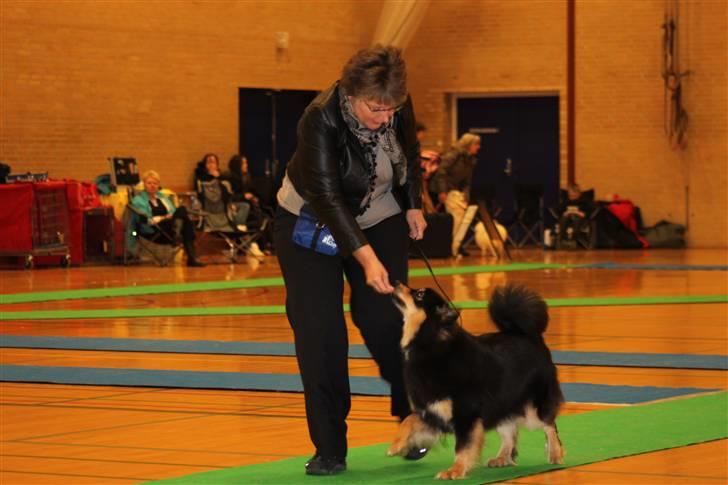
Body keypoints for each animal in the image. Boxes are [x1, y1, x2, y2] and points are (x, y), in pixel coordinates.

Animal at [386, 282, 564, 478]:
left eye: (419, 294)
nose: (396, 283)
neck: (431, 345)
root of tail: (530, 336)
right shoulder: (433, 412)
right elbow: (408, 420)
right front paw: (397, 445)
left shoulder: (466, 415)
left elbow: (463, 447)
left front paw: (455, 471)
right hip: (501, 406)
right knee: (510, 431)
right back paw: (502, 458)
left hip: (532, 408)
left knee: (549, 424)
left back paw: (556, 454)